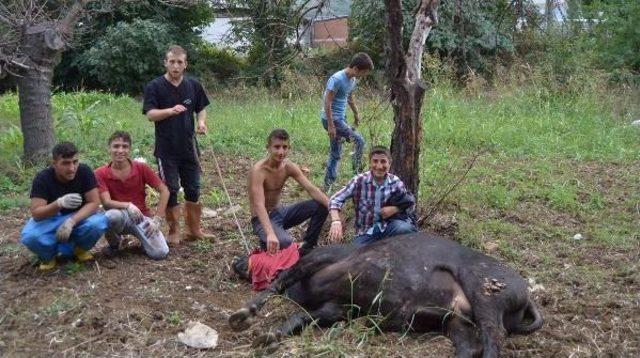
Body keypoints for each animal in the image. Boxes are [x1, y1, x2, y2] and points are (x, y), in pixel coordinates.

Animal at [228, 231, 544, 356]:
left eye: (256, 250)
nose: (235, 262)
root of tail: (525, 293)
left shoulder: (320, 260)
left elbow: (278, 283)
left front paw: (244, 315)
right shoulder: (338, 308)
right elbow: (299, 318)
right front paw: (270, 336)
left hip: (485, 294)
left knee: (494, 338)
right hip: (457, 321)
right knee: (470, 347)